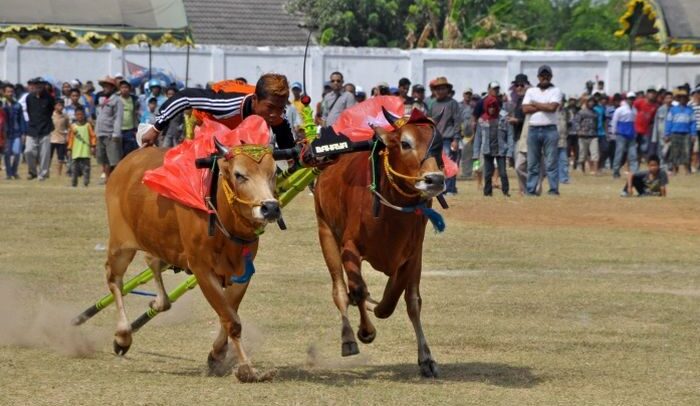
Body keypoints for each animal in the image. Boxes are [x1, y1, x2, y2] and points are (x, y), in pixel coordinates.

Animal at [104, 144, 278, 384]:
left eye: (274, 173)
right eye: (239, 174)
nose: (270, 208)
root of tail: (126, 162)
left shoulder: (242, 273)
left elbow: (229, 313)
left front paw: (217, 354)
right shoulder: (202, 270)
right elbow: (232, 321)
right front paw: (246, 369)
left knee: (152, 262)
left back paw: (159, 302)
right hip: (121, 245)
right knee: (114, 280)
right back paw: (123, 335)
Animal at [314, 112, 446, 378]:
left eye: (439, 144)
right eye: (405, 143)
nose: (435, 180)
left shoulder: (413, 254)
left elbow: (408, 300)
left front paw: (426, 358)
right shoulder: (349, 247)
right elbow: (357, 290)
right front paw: (365, 330)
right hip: (325, 232)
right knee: (339, 290)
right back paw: (348, 338)